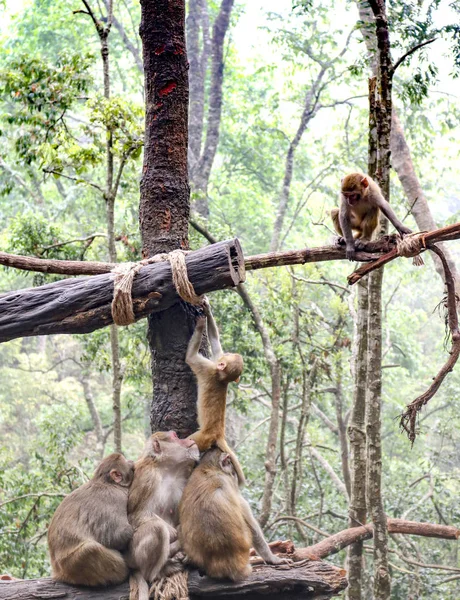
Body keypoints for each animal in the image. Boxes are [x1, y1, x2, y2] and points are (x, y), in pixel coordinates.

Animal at [48, 450, 135, 584]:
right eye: (126, 461)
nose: (132, 461)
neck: (104, 481)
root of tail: (58, 572)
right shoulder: (116, 497)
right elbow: (118, 535)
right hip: (72, 565)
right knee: (90, 549)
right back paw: (123, 573)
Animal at [126, 432, 199, 600]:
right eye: (176, 436)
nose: (189, 439)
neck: (167, 470)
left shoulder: (182, 481)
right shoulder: (147, 477)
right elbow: (133, 514)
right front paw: (172, 532)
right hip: (133, 554)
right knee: (156, 528)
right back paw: (160, 571)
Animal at [178, 446, 290, 580]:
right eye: (230, 464)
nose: (235, 474)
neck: (208, 468)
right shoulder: (230, 484)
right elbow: (252, 526)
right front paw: (272, 558)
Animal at [185, 298, 246, 488]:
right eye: (230, 353)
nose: (230, 352)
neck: (221, 377)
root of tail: (218, 434)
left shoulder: (207, 369)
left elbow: (190, 358)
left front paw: (200, 325)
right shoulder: (213, 365)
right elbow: (215, 343)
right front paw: (207, 309)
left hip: (202, 437)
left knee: (189, 443)